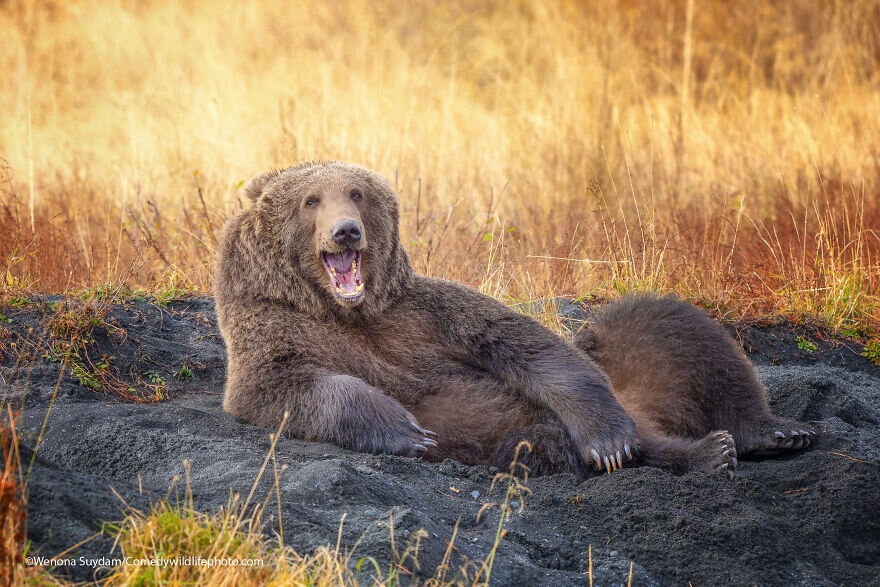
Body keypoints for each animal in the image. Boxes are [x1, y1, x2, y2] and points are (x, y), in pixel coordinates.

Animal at [215, 160, 736, 478]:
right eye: (311, 200)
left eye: (356, 193)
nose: (346, 232)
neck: (344, 308)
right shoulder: (274, 328)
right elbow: (284, 386)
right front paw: (409, 431)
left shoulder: (424, 315)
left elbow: (528, 344)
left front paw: (609, 441)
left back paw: (714, 450)